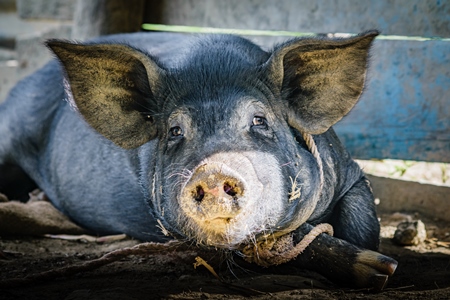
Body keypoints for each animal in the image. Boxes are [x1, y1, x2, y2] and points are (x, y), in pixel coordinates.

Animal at [0, 30, 396, 288]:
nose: (213, 171)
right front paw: (379, 271)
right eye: (175, 130)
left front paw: (386, 271)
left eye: (259, 120)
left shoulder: (350, 172)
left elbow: (362, 221)